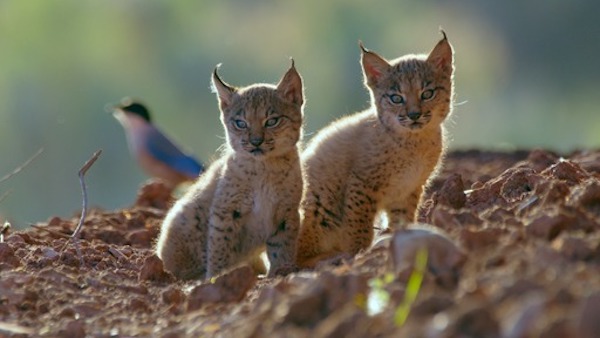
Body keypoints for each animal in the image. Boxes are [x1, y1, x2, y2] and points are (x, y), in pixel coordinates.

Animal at [156, 61, 304, 280]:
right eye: (240, 124)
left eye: (272, 121)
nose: (256, 142)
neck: (263, 167)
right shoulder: (225, 210)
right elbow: (221, 245)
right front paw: (216, 277)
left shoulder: (287, 211)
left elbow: (282, 246)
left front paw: (281, 271)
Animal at [296, 33, 454, 268]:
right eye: (396, 98)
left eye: (427, 94)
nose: (414, 115)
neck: (414, 141)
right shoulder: (361, 182)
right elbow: (358, 225)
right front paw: (358, 254)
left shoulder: (409, 187)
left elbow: (403, 218)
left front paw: (400, 236)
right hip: (320, 204)